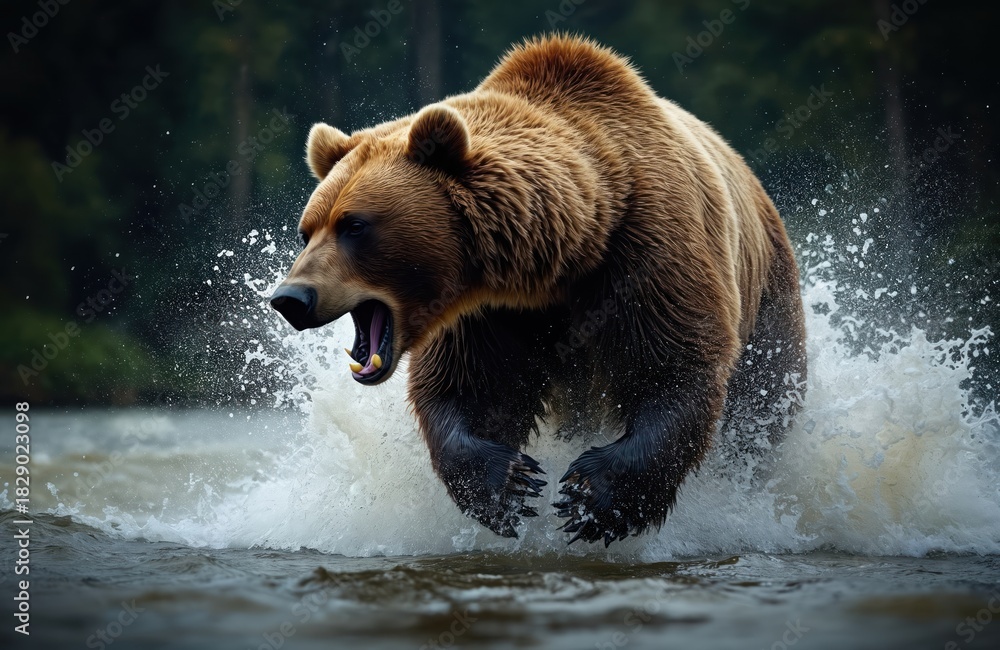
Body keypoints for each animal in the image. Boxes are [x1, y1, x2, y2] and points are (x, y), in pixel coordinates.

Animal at [269, 35, 806, 546]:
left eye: (354, 226)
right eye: (306, 229)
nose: (290, 298)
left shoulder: (648, 250)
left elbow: (675, 365)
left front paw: (592, 499)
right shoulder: (490, 311)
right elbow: (471, 388)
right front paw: (508, 485)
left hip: (770, 296)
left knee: (763, 401)